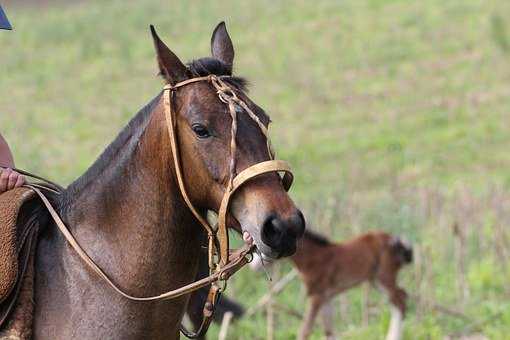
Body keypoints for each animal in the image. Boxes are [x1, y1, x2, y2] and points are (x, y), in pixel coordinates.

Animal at [249, 230, 412, 338]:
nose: (254, 267)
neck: (313, 258)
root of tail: (397, 240)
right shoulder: (326, 297)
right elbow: (329, 332)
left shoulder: (316, 296)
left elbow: (305, 331)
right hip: (374, 280)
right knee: (399, 299)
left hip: (384, 277)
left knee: (400, 300)